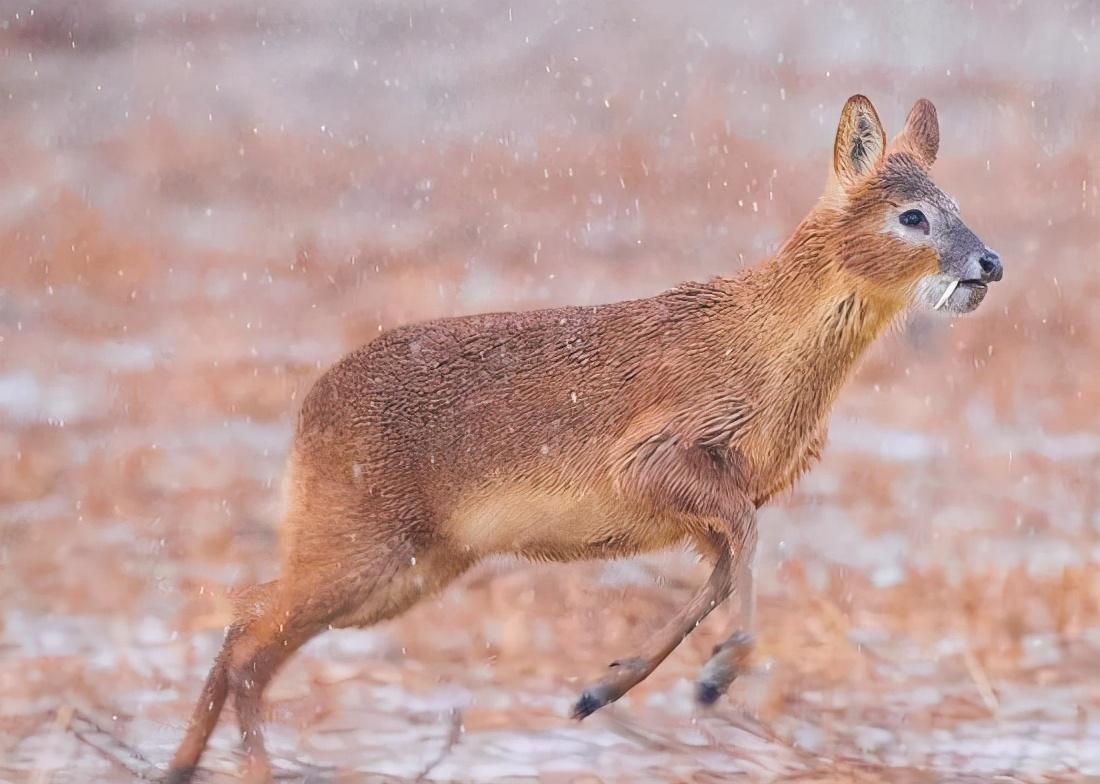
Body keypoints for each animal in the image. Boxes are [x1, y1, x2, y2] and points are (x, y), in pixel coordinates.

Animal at [167, 94, 1003, 778]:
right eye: (913, 216)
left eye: (957, 202)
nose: (989, 261)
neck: (766, 352)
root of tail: (308, 413)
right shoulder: (653, 459)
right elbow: (742, 550)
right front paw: (716, 675)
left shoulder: (704, 506)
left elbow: (720, 575)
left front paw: (604, 688)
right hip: (363, 544)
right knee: (251, 641)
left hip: (413, 564)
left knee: (245, 620)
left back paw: (182, 765)